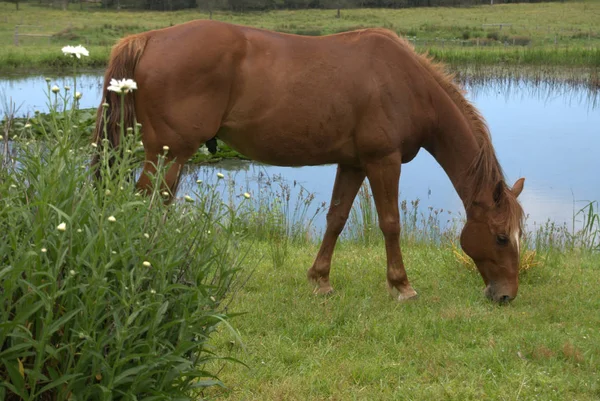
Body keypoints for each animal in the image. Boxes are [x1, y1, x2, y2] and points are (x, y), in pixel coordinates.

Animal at [92, 19, 524, 304]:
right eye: (502, 237)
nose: (506, 295)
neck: (406, 82)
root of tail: (147, 38)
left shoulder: (354, 163)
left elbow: (336, 218)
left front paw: (320, 279)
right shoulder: (383, 161)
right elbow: (390, 223)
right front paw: (401, 286)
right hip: (169, 155)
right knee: (144, 205)